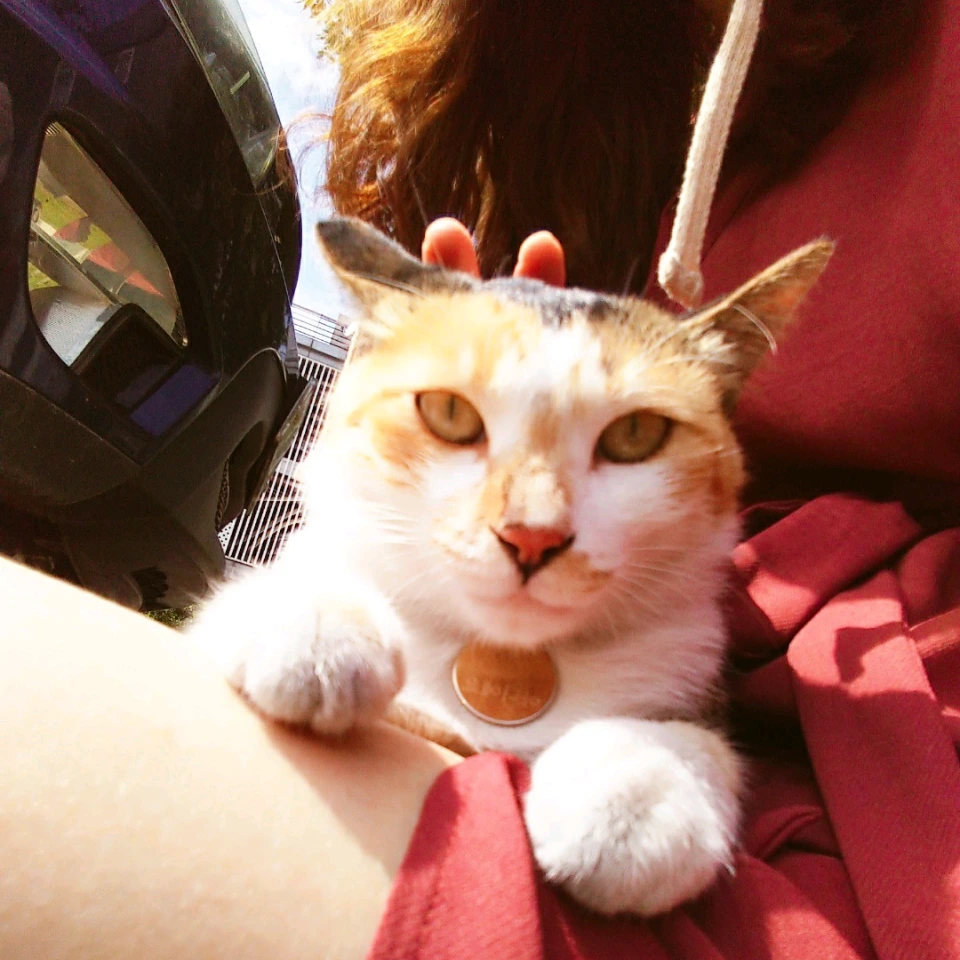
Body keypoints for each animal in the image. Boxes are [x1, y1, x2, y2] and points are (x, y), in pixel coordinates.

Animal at [189, 217, 832, 917]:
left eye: (636, 434)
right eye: (448, 413)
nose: (531, 535)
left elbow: (703, 740)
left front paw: (638, 787)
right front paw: (316, 625)